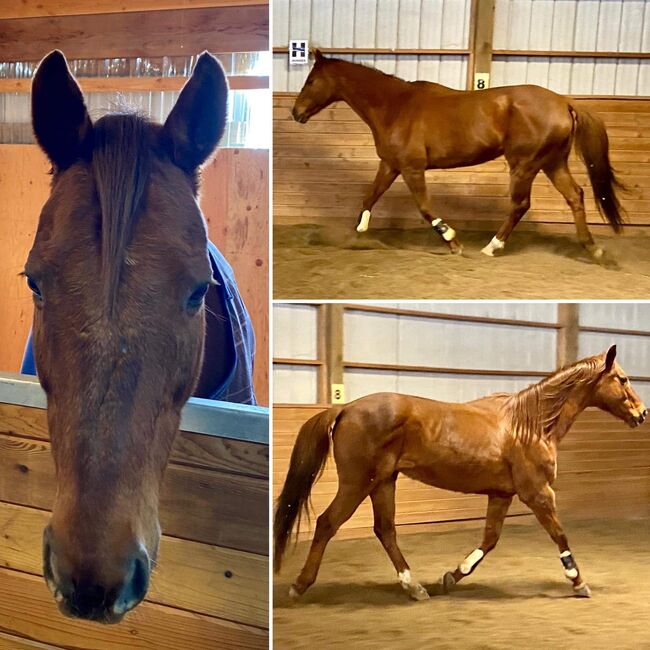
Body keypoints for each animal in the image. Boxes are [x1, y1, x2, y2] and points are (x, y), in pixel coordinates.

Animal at [274, 346, 644, 600]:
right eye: (623, 379)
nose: (641, 413)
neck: (532, 424)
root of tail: (345, 408)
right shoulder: (537, 492)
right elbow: (560, 535)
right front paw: (579, 582)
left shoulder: (502, 494)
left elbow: (490, 540)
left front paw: (452, 576)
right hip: (357, 483)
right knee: (328, 523)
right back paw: (300, 585)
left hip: (383, 482)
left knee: (386, 530)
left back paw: (415, 587)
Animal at [292, 50, 624, 260]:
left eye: (310, 81)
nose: (296, 113)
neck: (395, 107)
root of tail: (563, 101)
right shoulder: (390, 165)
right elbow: (369, 197)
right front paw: (354, 235)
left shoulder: (412, 168)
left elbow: (425, 207)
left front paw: (453, 242)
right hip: (553, 163)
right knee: (575, 196)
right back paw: (591, 247)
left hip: (524, 164)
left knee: (521, 204)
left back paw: (492, 247)